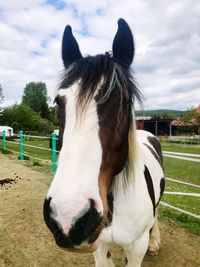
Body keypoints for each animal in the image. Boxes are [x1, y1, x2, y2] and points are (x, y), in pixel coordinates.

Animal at [43, 17, 166, 266]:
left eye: (125, 101)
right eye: (59, 101)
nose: (67, 216)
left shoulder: (136, 248)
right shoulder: (99, 247)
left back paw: (155, 242)